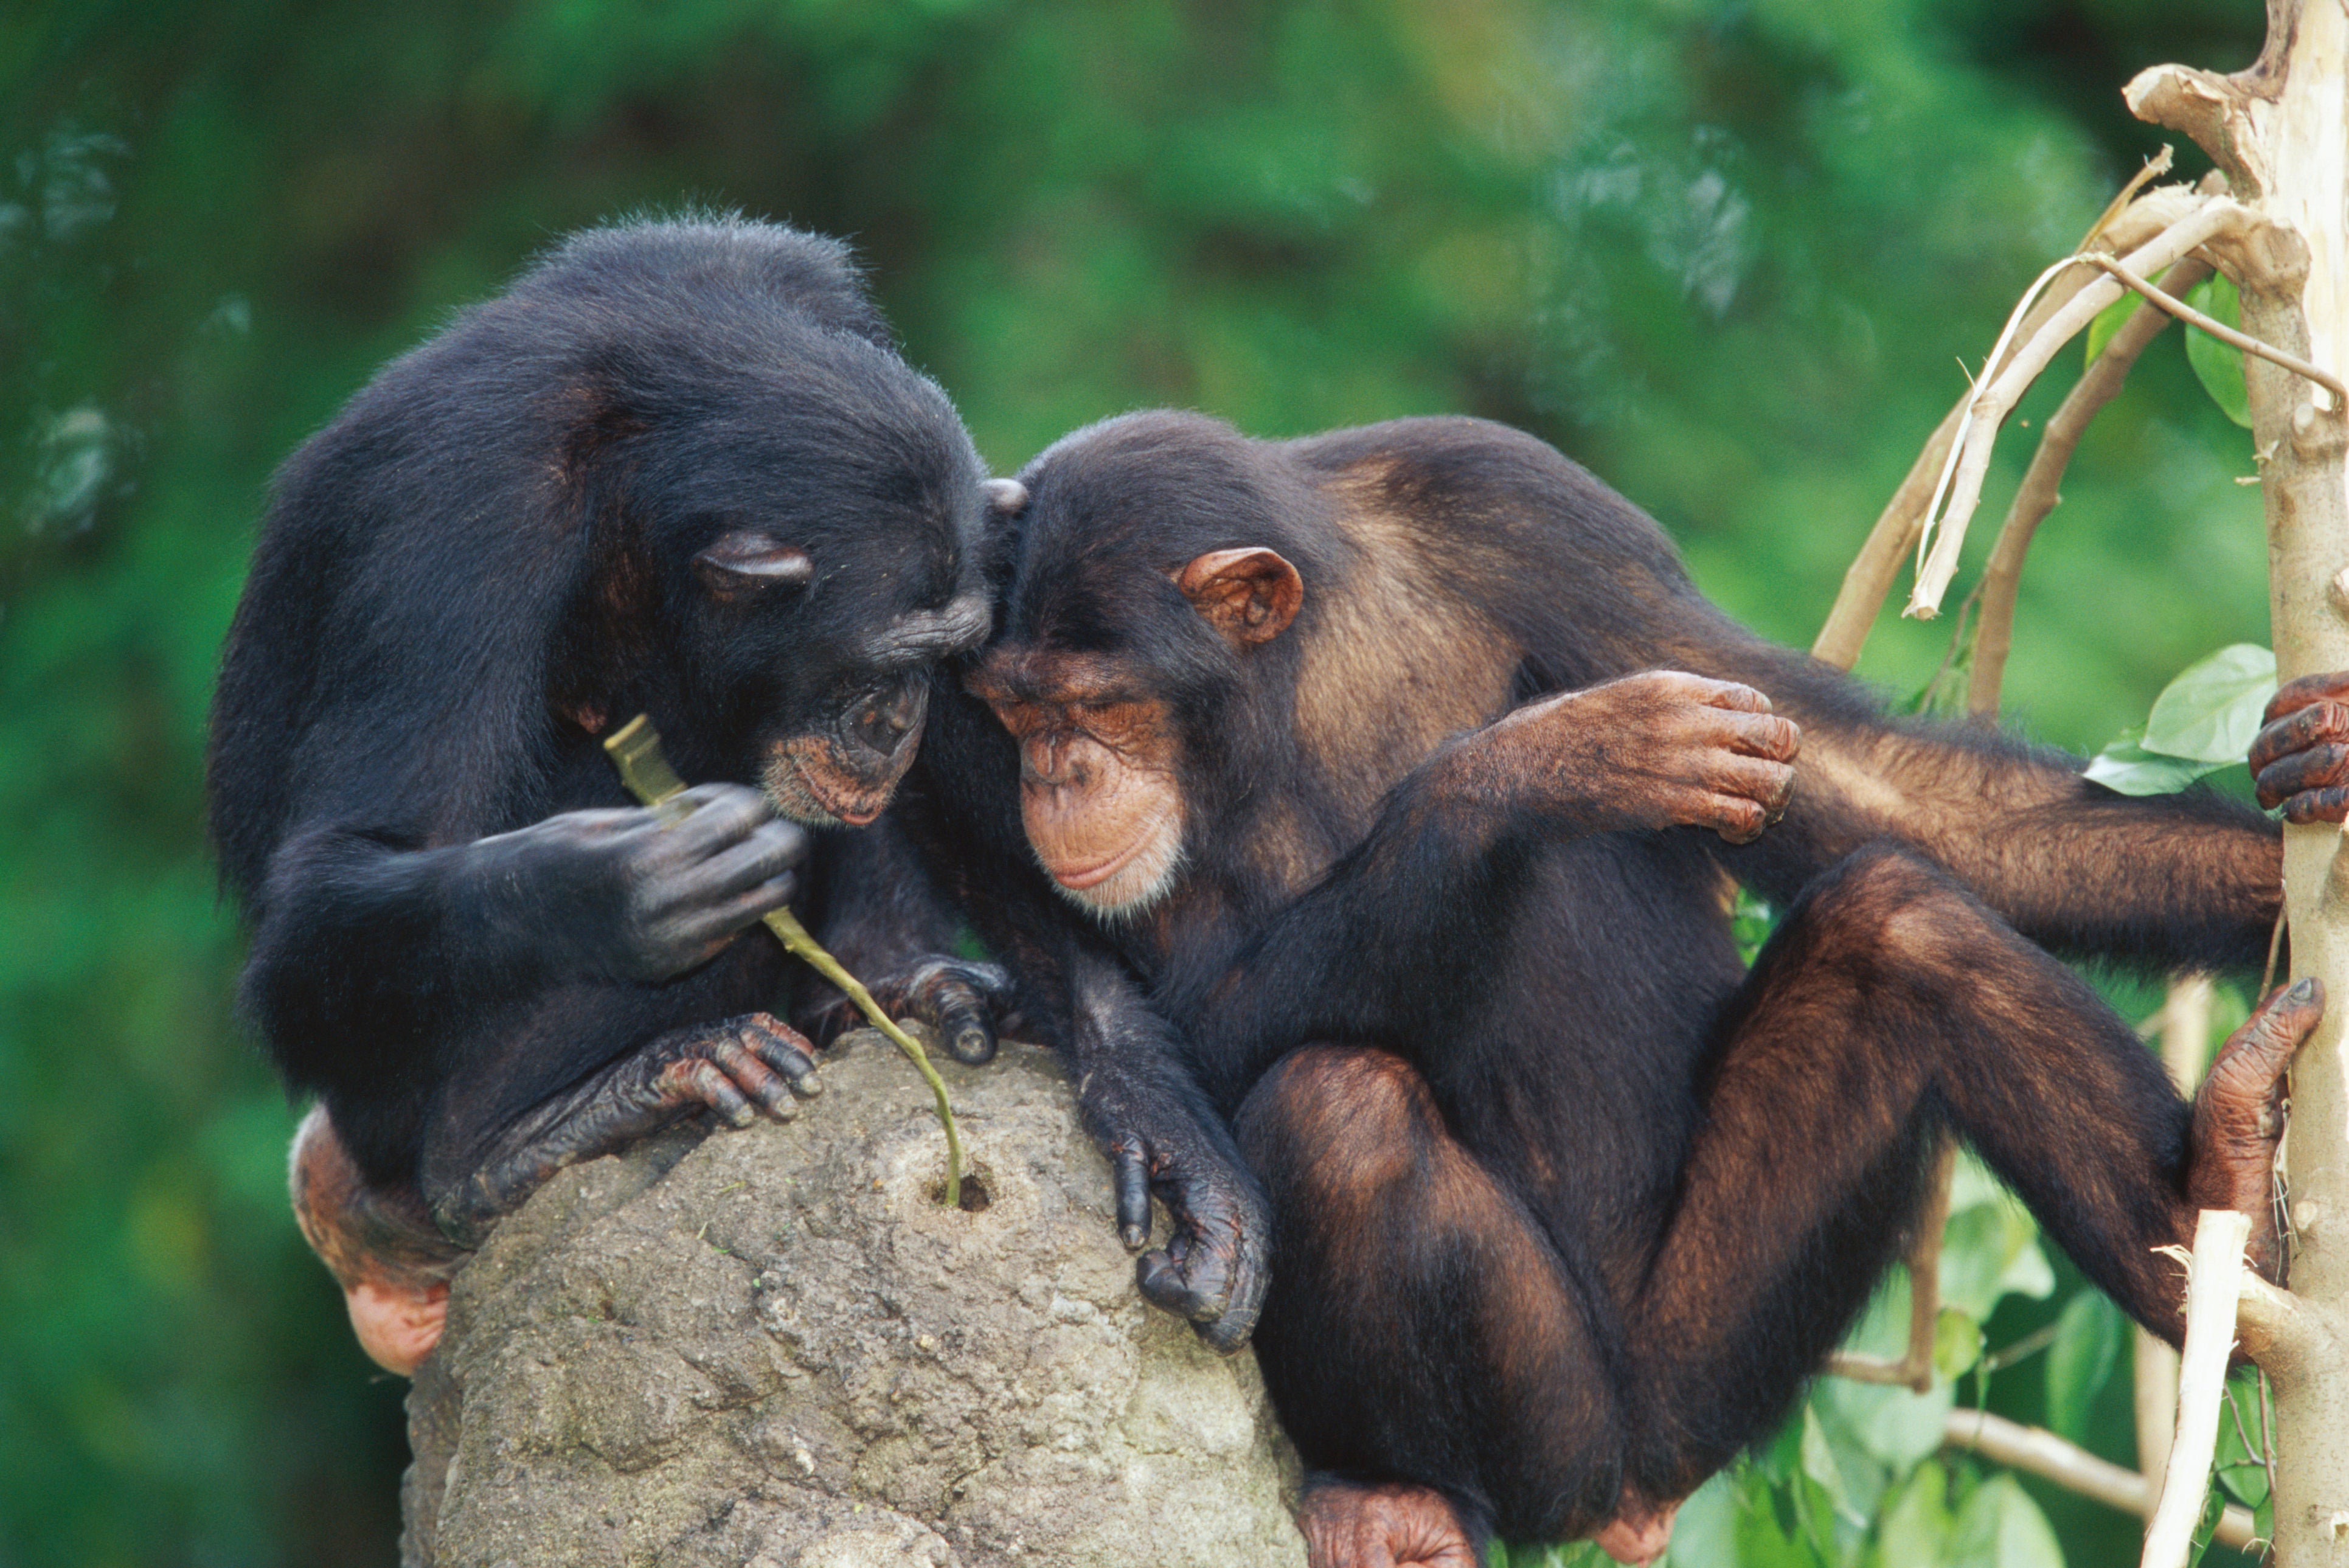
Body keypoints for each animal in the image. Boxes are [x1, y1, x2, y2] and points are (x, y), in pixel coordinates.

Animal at [221, 217, 1019, 1370]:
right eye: (879, 662)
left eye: (943, 658)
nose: (893, 722)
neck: (643, 469)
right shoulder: (456, 514)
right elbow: (339, 876)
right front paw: (630, 882)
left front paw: (901, 974)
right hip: (388, 1124)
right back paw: (523, 1133)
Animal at [887, 411, 2320, 1568]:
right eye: (1015, 710)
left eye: (1098, 702)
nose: (1057, 775)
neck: (1291, 667)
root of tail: (1639, 1491)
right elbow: (1178, 1023)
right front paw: (1549, 761)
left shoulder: (1533, 509)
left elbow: (1875, 787)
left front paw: (2314, 787)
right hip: (1572, 1431)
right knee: (1338, 1110)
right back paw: (1404, 1500)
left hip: (1719, 1355)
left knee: (1904, 922)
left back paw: (2216, 1214)